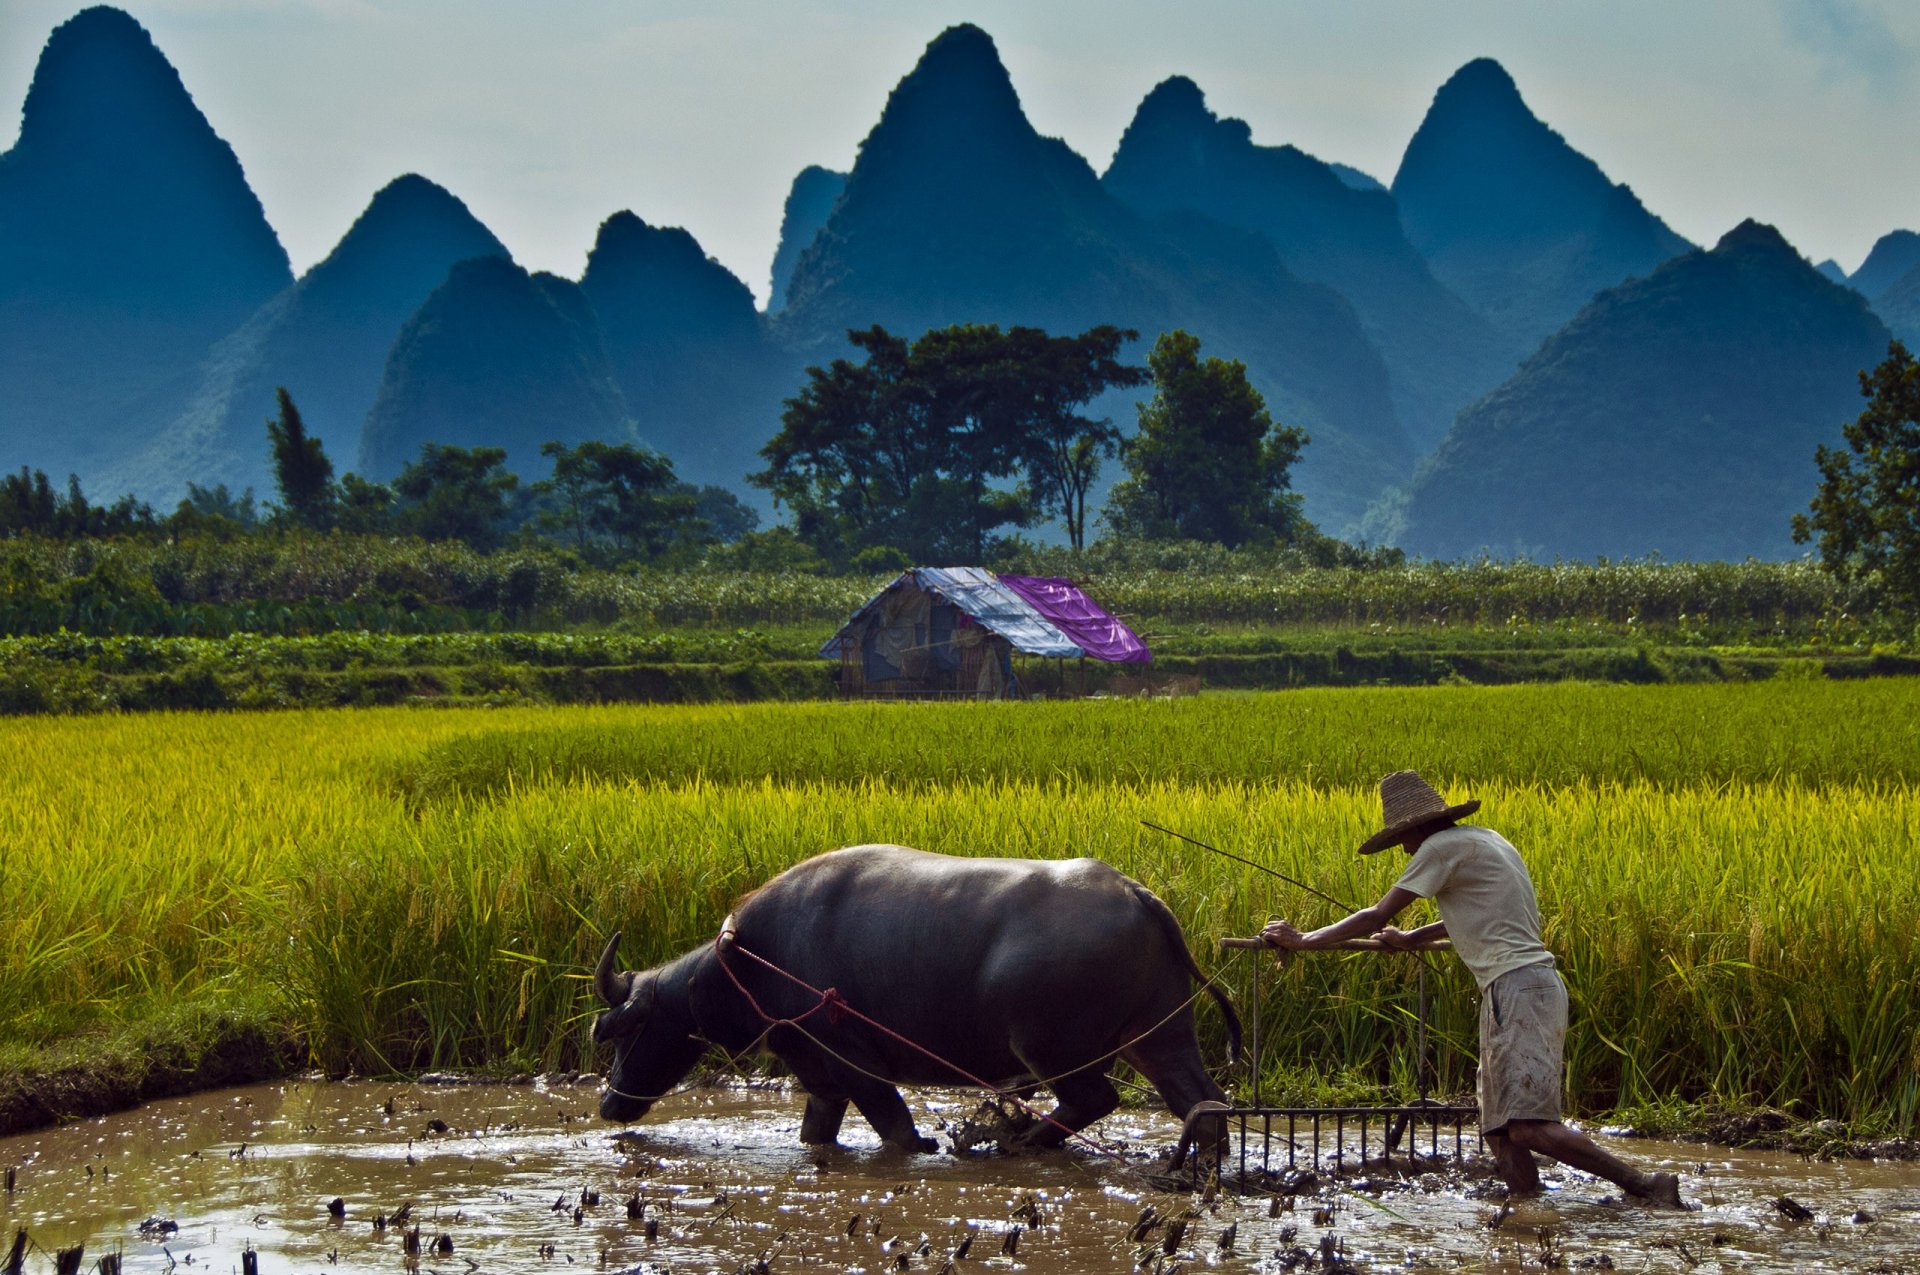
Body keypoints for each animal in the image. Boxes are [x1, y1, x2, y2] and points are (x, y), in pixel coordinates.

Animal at [591, 841, 1236, 1152]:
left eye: (627, 1029)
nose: (609, 1104)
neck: (749, 960)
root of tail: (1136, 893)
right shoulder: (818, 1075)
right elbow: (816, 1132)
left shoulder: (855, 1061)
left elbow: (898, 1130)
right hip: (1159, 1035)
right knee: (1200, 1103)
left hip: (1050, 1048)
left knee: (1096, 1098)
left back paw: (1021, 1141)